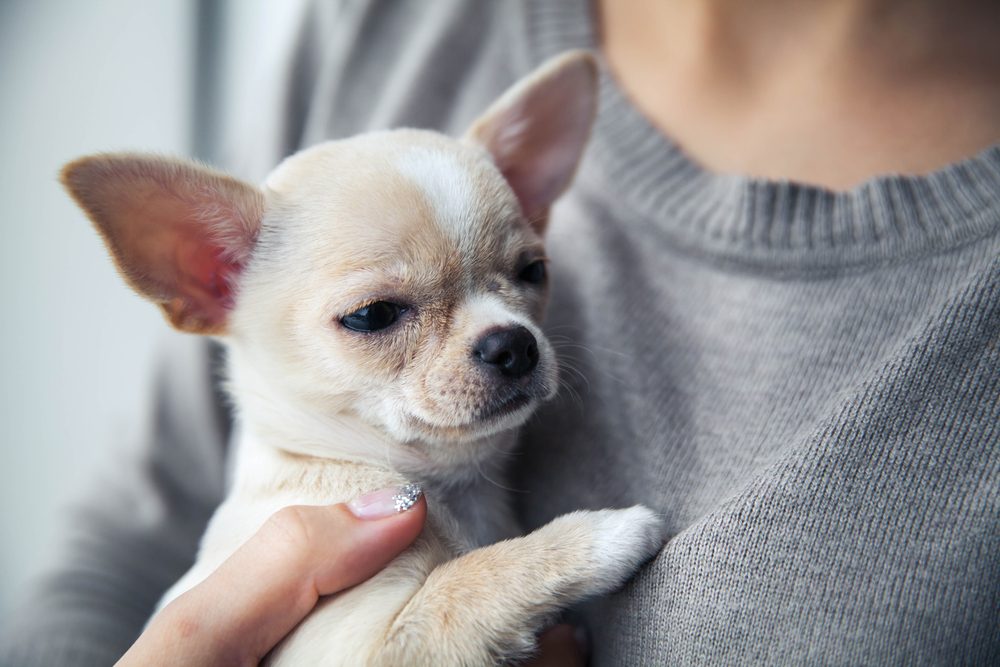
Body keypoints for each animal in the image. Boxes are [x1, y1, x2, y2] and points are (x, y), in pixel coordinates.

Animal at [62, 53, 664, 667]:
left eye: (533, 272)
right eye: (372, 315)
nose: (513, 343)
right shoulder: (369, 643)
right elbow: (469, 580)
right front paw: (604, 534)